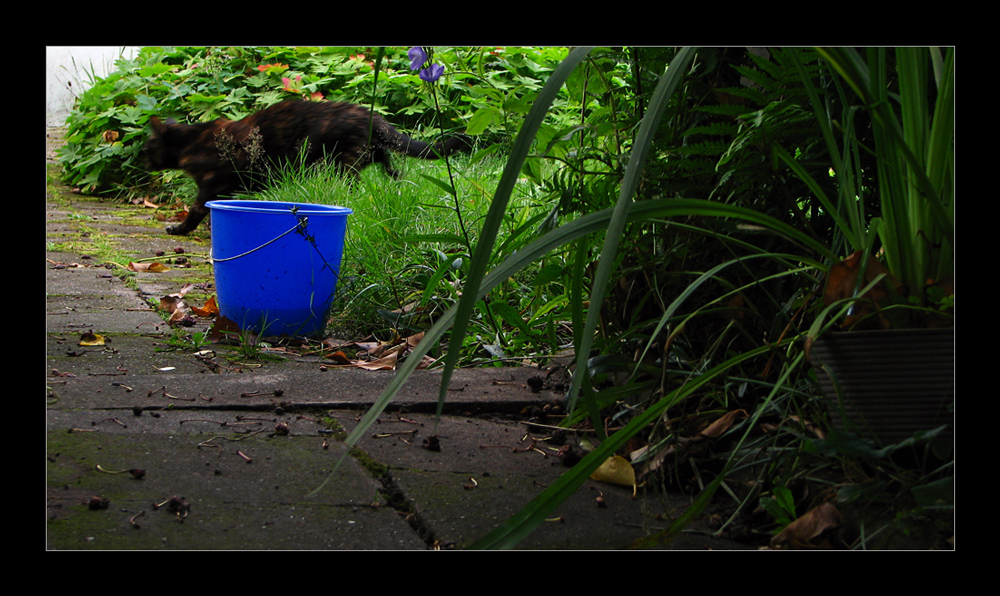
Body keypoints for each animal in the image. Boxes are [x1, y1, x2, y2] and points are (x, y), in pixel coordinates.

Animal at [143, 100, 470, 235]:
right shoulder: (226, 189)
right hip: (364, 154)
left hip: (340, 164)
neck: (192, 141)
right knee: (388, 162)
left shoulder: (210, 186)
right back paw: (397, 179)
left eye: (148, 147)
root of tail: (371, 116)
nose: (143, 161)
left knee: (357, 179)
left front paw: (179, 228)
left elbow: (195, 211)